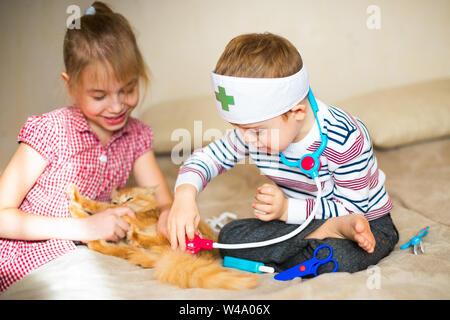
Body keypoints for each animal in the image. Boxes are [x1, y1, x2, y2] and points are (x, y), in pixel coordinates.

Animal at [66, 184, 256, 292]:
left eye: (130, 198)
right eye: (115, 201)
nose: (120, 205)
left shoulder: (139, 216)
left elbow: (99, 206)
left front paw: (77, 197)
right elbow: (102, 209)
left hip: (169, 232)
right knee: (98, 244)